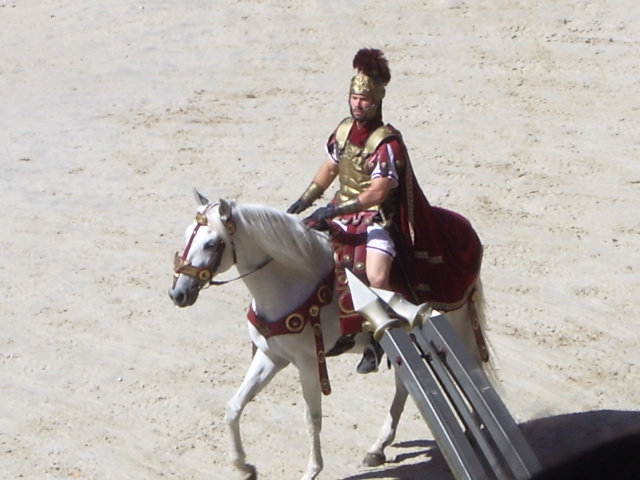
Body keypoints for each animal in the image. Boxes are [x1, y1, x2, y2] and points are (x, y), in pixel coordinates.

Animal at [168, 193, 488, 478]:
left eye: (211, 243)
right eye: (186, 235)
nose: (178, 293)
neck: (291, 281)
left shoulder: (309, 363)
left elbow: (312, 419)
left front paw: (311, 471)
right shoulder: (272, 355)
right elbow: (234, 407)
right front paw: (245, 467)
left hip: (454, 323)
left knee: (472, 366)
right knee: (404, 385)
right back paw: (377, 447)